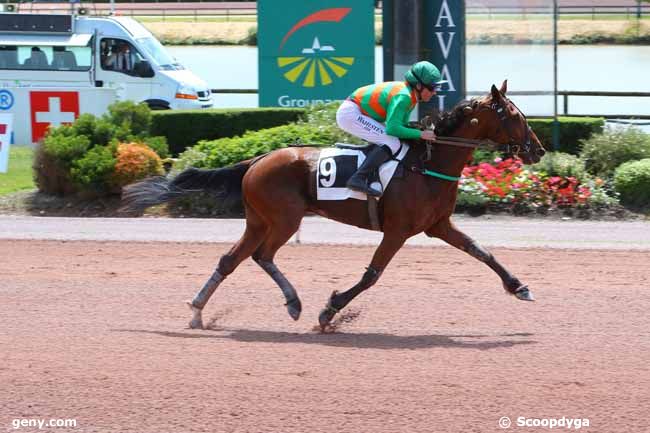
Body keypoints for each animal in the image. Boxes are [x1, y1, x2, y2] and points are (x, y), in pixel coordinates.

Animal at [120, 80, 540, 330]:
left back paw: (198, 311)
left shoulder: (438, 225)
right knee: (261, 256)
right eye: (514, 116)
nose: (537, 150)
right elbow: (371, 276)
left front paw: (519, 286)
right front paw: (330, 310)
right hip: (284, 219)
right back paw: (293, 303)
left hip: (259, 220)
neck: (428, 164)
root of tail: (257, 160)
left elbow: (481, 251)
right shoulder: (398, 230)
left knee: (233, 260)